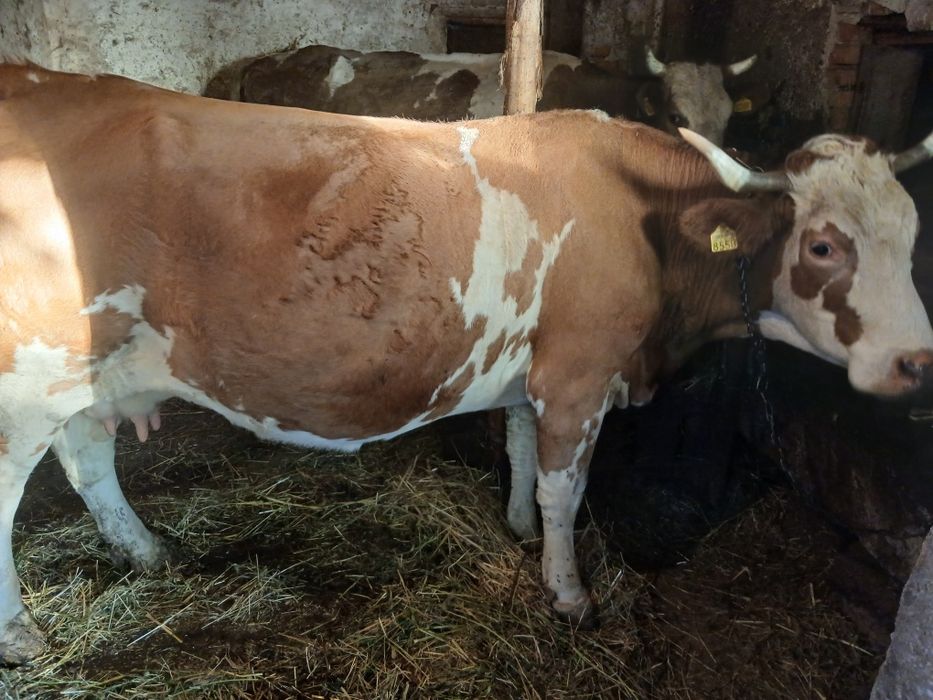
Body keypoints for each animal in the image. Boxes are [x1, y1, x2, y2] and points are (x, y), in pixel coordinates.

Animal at [1, 63, 932, 664]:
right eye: (822, 244)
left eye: (912, 232)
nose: (915, 361)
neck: (644, 221)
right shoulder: (578, 373)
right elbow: (564, 491)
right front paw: (568, 593)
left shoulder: (534, 372)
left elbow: (518, 450)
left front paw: (514, 528)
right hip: (24, 389)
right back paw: (24, 636)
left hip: (81, 373)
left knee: (89, 458)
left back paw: (149, 554)